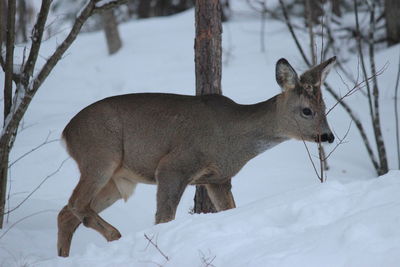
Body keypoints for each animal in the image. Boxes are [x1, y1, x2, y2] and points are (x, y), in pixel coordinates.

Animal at [57, 57, 336, 258]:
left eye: (324, 107)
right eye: (307, 111)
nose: (328, 136)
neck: (233, 138)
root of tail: (65, 132)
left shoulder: (218, 179)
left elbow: (230, 209)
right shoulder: (173, 166)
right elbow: (163, 218)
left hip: (119, 179)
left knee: (66, 214)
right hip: (100, 156)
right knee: (76, 203)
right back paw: (116, 235)